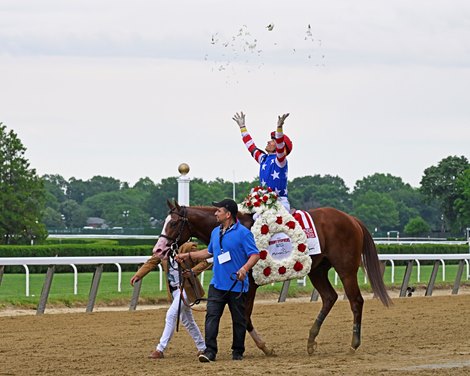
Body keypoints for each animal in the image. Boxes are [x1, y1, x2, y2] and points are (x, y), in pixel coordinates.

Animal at [152, 201, 392, 354]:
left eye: (173, 223)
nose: (159, 249)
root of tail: (351, 219)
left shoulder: (248, 284)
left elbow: (245, 316)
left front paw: (263, 347)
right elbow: (241, 316)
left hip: (346, 268)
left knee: (355, 301)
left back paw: (353, 343)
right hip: (317, 269)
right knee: (329, 297)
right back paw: (311, 340)